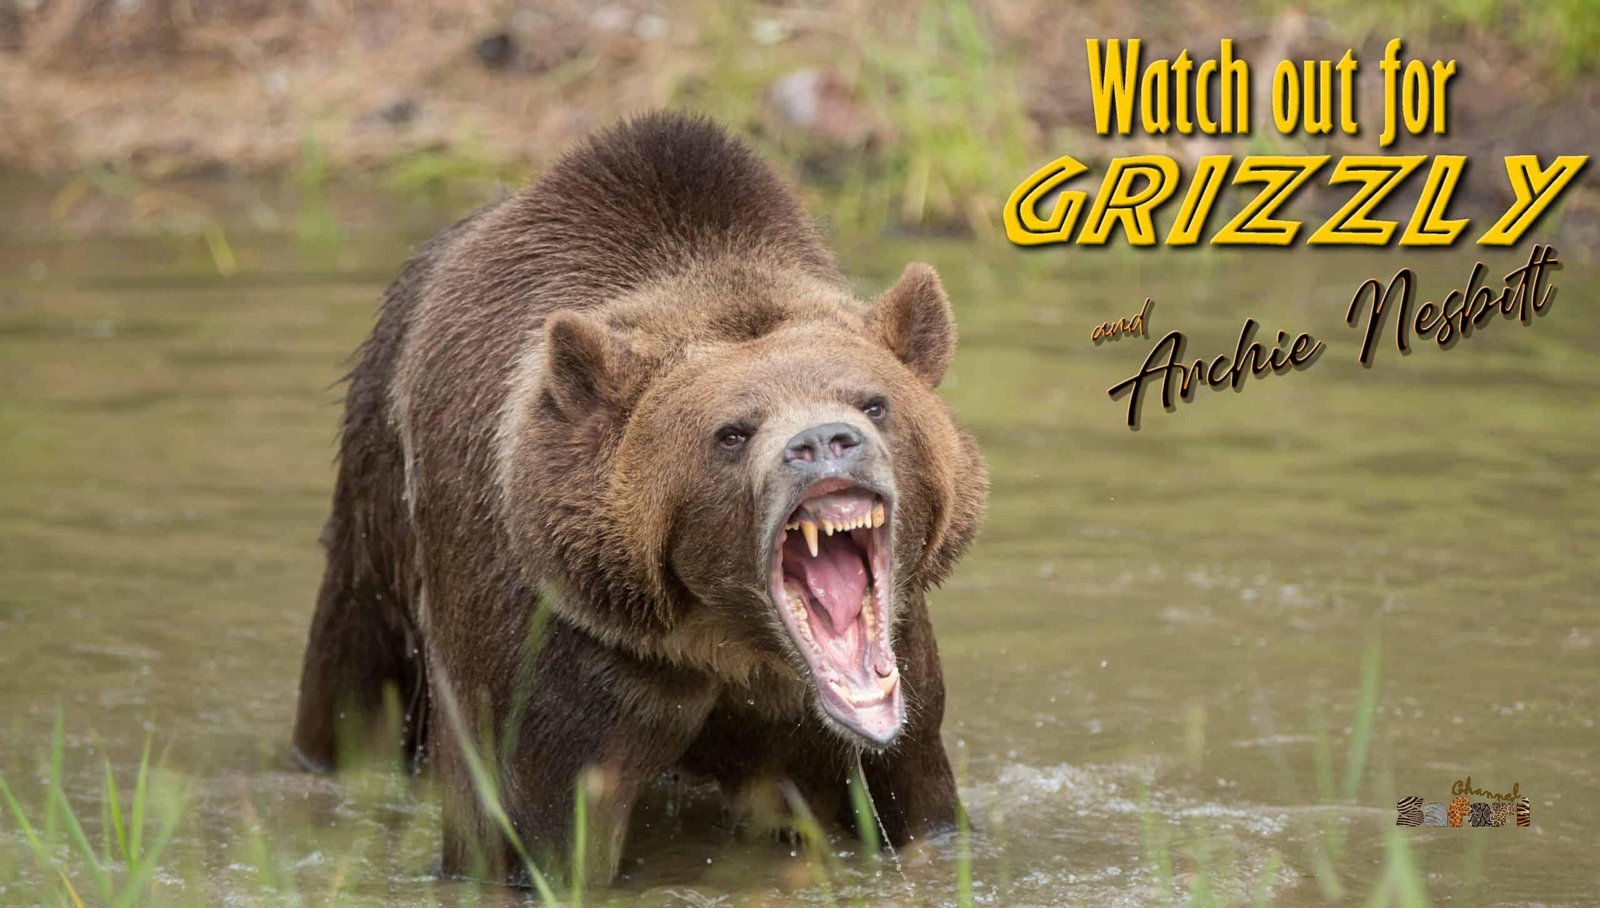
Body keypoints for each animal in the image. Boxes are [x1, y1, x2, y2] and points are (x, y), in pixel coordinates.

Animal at [290, 111, 988, 887]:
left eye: (873, 402)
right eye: (732, 432)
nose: (824, 442)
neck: (728, 639)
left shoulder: (886, 688)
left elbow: (915, 799)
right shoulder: (565, 652)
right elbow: (532, 828)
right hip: (378, 517)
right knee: (354, 684)